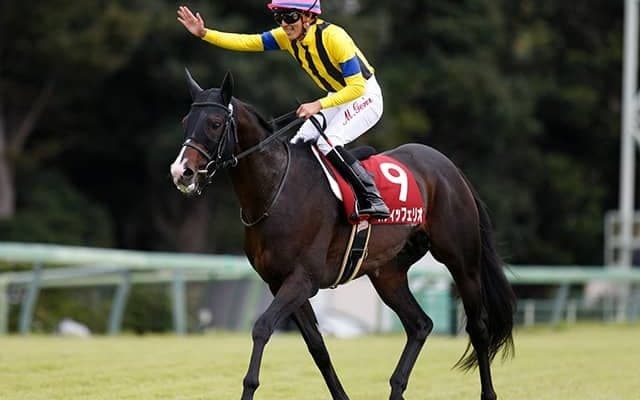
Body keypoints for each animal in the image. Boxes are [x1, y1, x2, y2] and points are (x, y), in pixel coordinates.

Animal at [169, 70, 516, 400]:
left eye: (215, 123)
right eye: (186, 121)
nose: (181, 172)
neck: (276, 190)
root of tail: (451, 169)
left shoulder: (302, 279)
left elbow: (262, 327)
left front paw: (249, 387)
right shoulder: (279, 282)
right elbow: (317, 347)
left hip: (462, 261)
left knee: (478, 328)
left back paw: (488, 393)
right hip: (388, 273)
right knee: (420, 324)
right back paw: (397, 388)